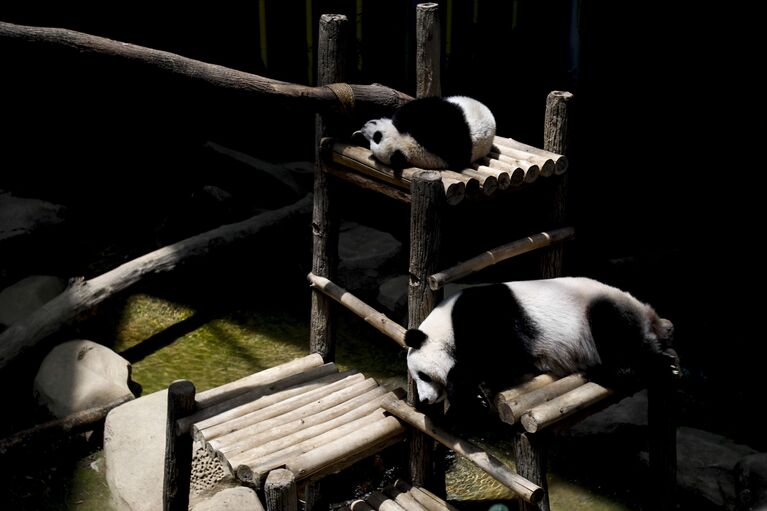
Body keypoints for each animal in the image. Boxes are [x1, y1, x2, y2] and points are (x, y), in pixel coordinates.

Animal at [404, 278, 680, 418]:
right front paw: (475, 396)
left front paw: (471, 392)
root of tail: (651, 317)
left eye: (423, 376)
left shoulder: (489, 315)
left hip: (602, 309)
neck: (447, 324)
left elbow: (507, 355)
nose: (426, 400)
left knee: (617, 337)